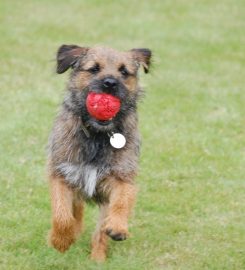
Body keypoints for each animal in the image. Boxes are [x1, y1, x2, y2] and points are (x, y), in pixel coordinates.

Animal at [47, 44, 151, 262]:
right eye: (94, 68)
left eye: (124, 71)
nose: (110, 83)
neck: (98, 134)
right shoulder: (61, 173)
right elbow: (62, 215)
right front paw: (60, 241)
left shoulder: (121, 177)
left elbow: (121, 202)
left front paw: (117, 228)